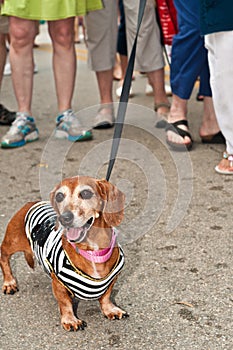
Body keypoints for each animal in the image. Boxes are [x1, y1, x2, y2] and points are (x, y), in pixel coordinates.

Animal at [0, 176, 128, 332]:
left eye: (86, 193)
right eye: (59, 196)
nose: (64, 218)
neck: (92, 251)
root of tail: (32, 203)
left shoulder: (113, 278)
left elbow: (106, 296)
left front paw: (110, 309)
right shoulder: (59, 283)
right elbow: (65, 302)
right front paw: (70, 320)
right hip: (12, 242)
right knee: (3, 256)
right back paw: (9, 282)